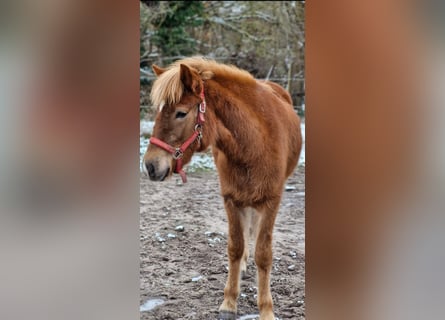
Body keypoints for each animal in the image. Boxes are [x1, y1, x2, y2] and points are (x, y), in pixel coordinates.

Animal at [143, 57, 302, 320]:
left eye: (181, 113)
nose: (150, 165)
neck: (252, 144)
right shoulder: (231, 198)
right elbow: (235, 247)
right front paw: (229, 302)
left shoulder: (271, 201)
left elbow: (264, 254)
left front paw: (266, 309)